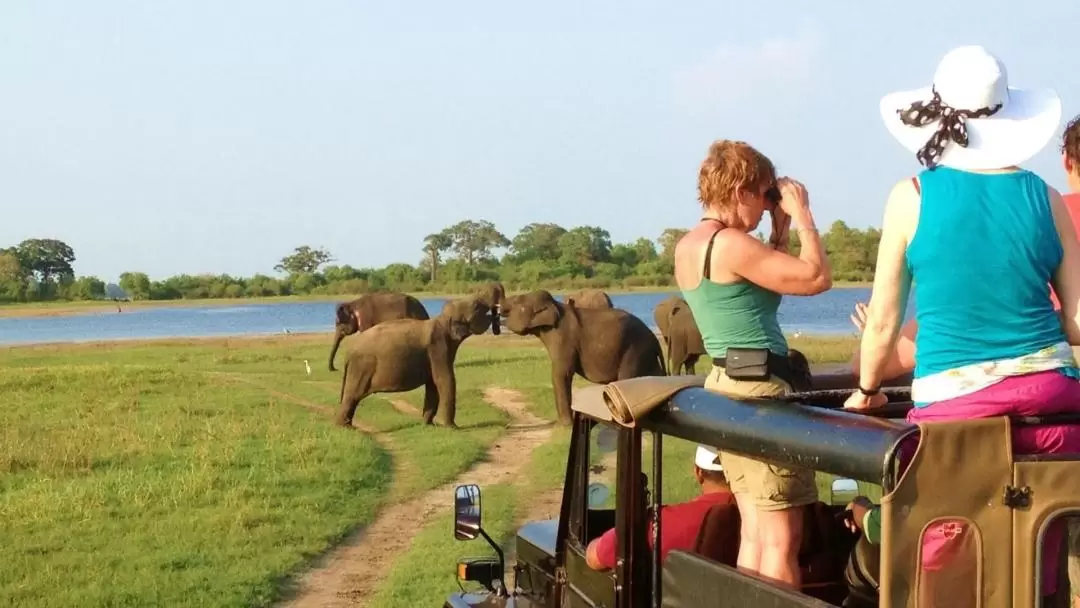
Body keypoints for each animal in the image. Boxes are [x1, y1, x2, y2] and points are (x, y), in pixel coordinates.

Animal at [334, 295, 494, 427]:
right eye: (476, 307)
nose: (493, 310)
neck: (441, 320)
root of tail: (349, 352)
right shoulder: (438, 348)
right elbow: (444, 380)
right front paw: (452, 427)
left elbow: (432, 384)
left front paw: (428, 424)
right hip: (362, 366)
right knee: (353, 395)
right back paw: (344, 426)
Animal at [498, 291, 665, 425]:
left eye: (516, 301)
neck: (555, 306)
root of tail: (654, 339)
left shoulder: (563, 338)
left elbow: (562, 374)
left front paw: (566, 426)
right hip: (644, 353)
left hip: (634, 349)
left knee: (627, 377)